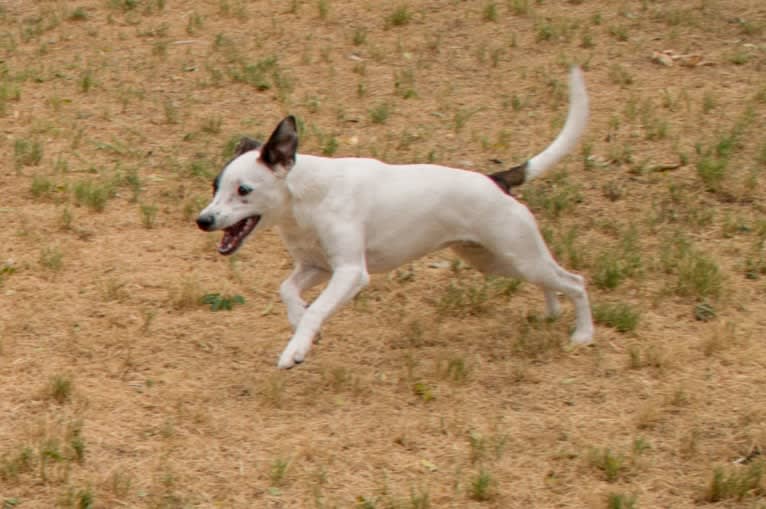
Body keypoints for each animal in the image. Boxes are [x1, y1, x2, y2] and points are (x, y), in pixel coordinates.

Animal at [196, 67, 592, 370]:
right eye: (215, 185)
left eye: (244, 190)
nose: (203, 220)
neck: (306, 199)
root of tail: (496, 179)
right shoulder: (316, 267)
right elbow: (287, 291)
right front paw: (300, 323)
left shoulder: (350, 272)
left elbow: (316, 309)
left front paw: (295, 349)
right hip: (496, 260)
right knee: (549, 280)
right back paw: (553, 311)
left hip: (517, 252)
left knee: (574, 281)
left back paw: (583, 334)